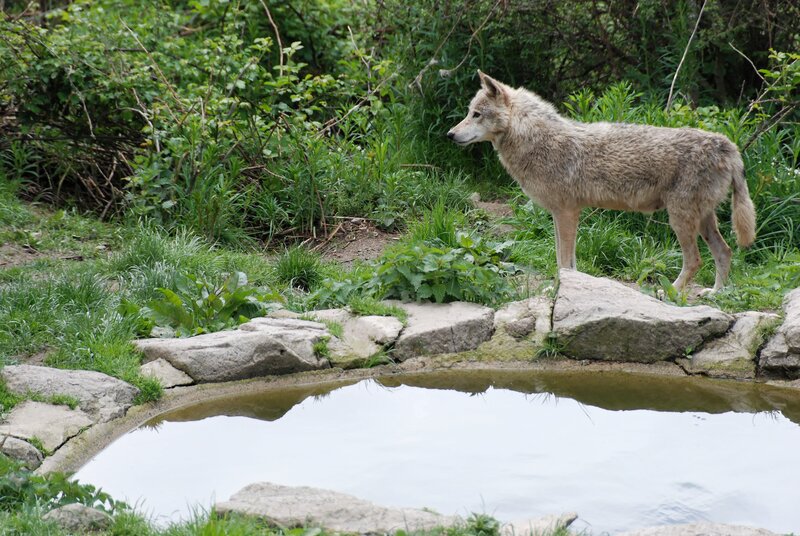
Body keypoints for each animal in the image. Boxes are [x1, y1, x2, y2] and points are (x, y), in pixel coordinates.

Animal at [447, 71, 757, 293]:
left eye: (476, 114)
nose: (450, 134)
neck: (536, 140)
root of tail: (728, 145)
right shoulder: (560, 214)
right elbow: (565, 262)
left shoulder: (566, 213)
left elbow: (564, 263)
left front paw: (560, 290)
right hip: (702, 221)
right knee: (725, 252)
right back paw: (715, 294)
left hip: (680, 219)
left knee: (695, 260)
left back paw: (669, 292)